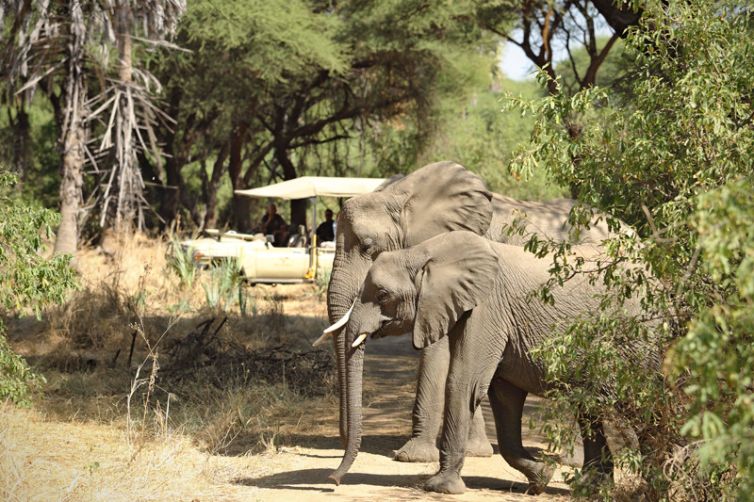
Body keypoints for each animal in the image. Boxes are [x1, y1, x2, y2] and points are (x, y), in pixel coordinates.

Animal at [317, 161, 614, 464]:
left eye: (367, 246)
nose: (343, 442)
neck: (403, 197)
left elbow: (438, 350)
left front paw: (412, 457)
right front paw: (476, 452)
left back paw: (571, 460)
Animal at [329, 230, 644, 494]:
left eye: (382, 295)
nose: (334, 480)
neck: (424, 252)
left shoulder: (488, 307)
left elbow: (464, 382)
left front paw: (441, 488)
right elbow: (505, 397)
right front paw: (543, 477)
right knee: (588, 408)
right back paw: (592, 487)